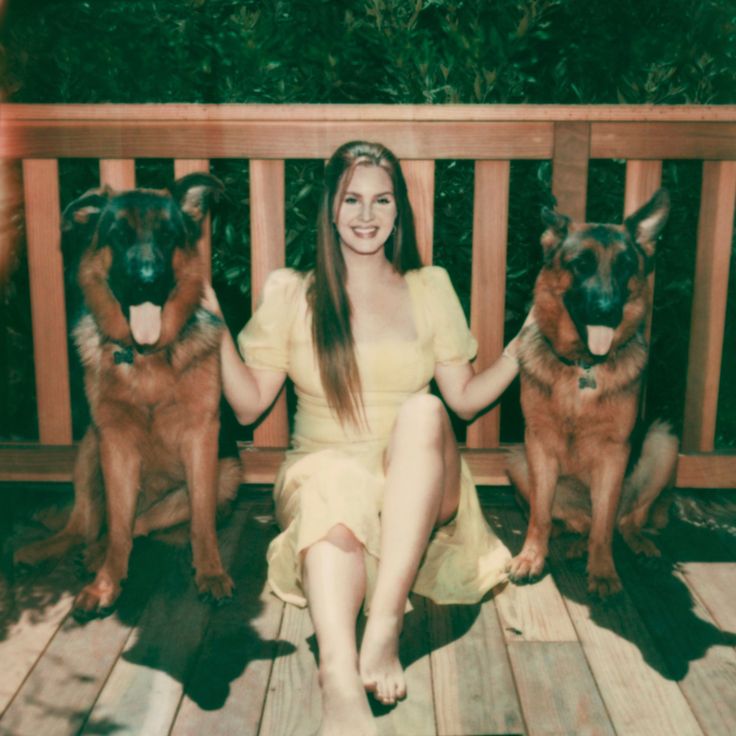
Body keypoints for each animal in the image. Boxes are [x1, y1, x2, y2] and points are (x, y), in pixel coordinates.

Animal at [13, 175, 242, 620]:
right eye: (119, 237)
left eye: (168, 236)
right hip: (89, 449)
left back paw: (93, 553)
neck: (146, 355)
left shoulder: (202, 440)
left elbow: (200, 523)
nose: (148, 279)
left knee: (140, 523)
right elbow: (117, 526)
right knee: (87, 523)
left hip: (223, 477)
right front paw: (105, 585)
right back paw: (51, 550)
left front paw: (210, 572)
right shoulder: (114, 445)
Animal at [506, 190, 680, 600]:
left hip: (663, 440)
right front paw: (532, 557)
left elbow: (604, 525)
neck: (583, 366)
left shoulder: (614, 454)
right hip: (517, 460)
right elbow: (539, 516)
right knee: (577, 524)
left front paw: (602, 571)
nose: (607, 310)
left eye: (624, 266)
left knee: (621, 520)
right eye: (581, 265)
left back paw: (636, 544)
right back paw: (573, 544)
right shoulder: (537, 445)